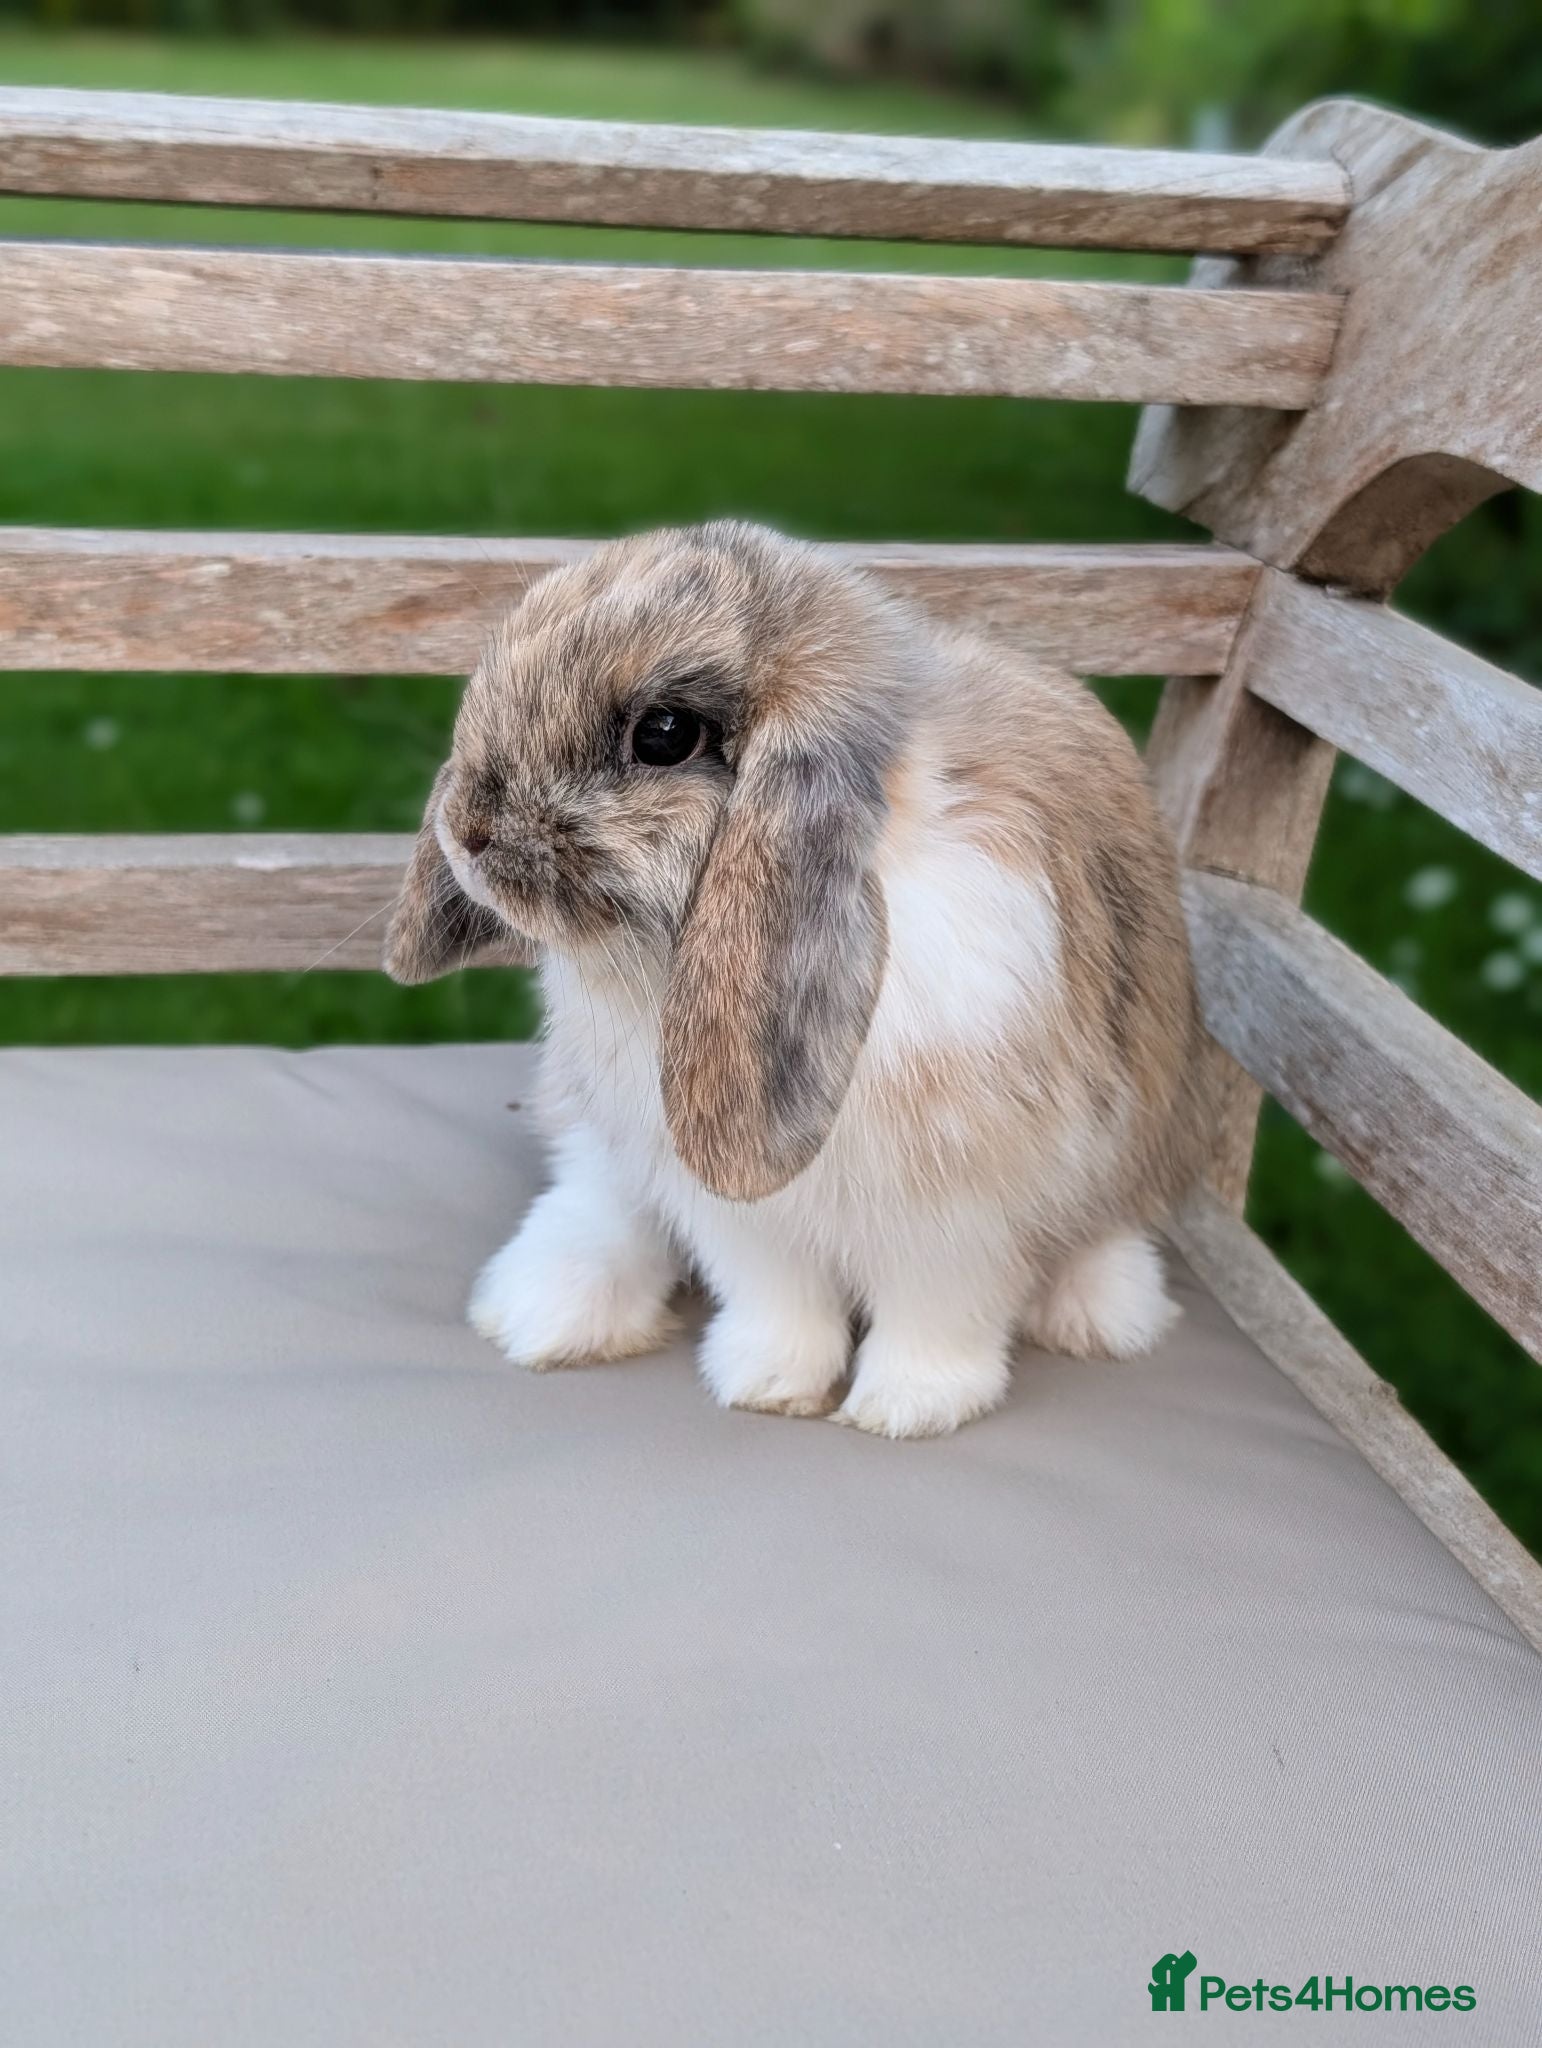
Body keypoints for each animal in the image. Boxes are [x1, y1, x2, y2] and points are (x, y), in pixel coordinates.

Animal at [385, 520, 1208, 1438]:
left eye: (663, 734)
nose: (467, 831)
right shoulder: (739, 1211)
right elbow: (779, 1302)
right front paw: (768, 1385)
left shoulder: (961, 1216)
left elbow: (935, 1315)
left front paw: (905, 1408)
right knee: (599, 1194)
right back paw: (544, 1310)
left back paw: (1100, 1312)